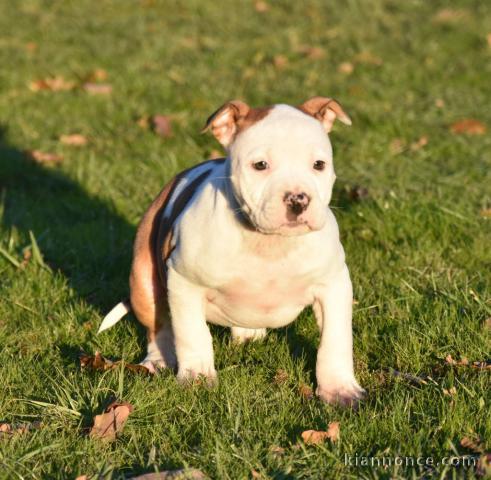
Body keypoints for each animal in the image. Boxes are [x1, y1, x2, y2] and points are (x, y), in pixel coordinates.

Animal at [101, 96, 366, 404]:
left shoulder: (333, 285)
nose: (298, 199)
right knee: (159, 326)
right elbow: (192, 334)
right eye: (260, 165)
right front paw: (197, 379)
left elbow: (335, 340)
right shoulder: (184, 282)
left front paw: (339, 389)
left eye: (319, 164)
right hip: (144, 279)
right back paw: (157, 361)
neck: (269, 242)